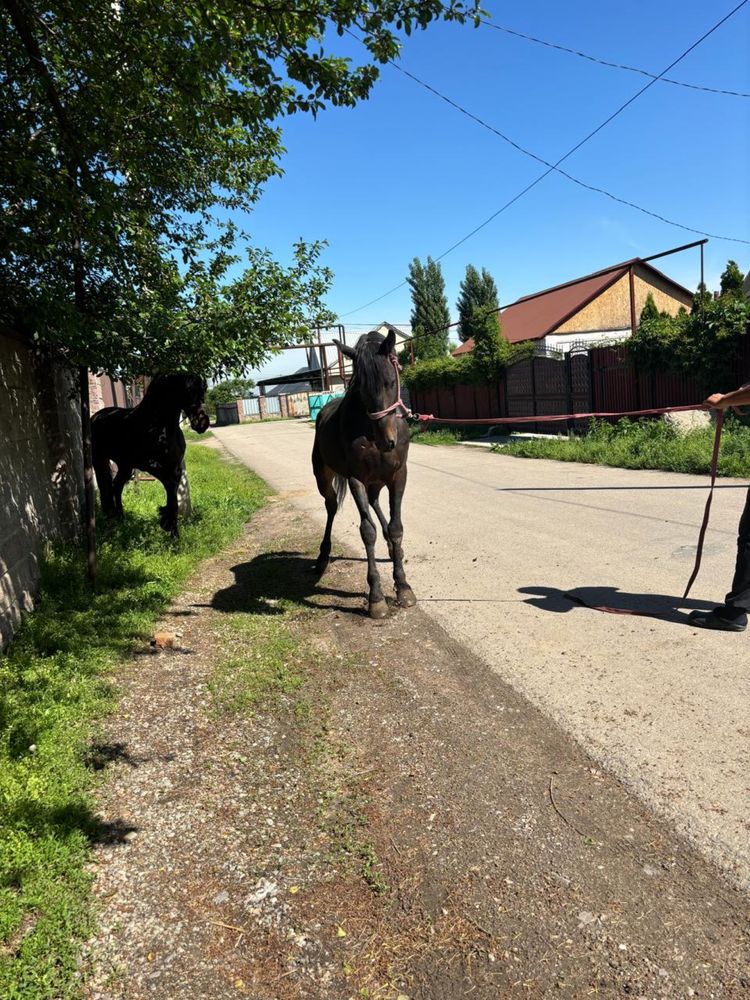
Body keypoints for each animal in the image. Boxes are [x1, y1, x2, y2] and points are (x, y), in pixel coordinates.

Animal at [95, 374, 212, 532]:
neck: (158, 427)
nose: (202, 423)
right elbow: (171, 500)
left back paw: (121, 518)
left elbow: (174, 504)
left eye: (203, 388)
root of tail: (96, 416)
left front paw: (173, 532)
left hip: (125, 466)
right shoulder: (154, 468)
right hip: (100, 461)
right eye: (188, 389)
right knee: (108, 488)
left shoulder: (176, 469)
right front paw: (166, 521)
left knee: (116, 487)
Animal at [312, 328, 418, 616]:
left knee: (375, 503)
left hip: (378, 481)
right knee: (331, 506)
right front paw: (376, 597)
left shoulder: (398, 476)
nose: (386, 441)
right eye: (361, 387)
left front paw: (403, 586)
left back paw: (393, 549)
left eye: (391, 381)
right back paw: (323, 556)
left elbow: (396, 527)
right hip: (323, 478)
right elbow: (367, 531)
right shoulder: (356, 479)